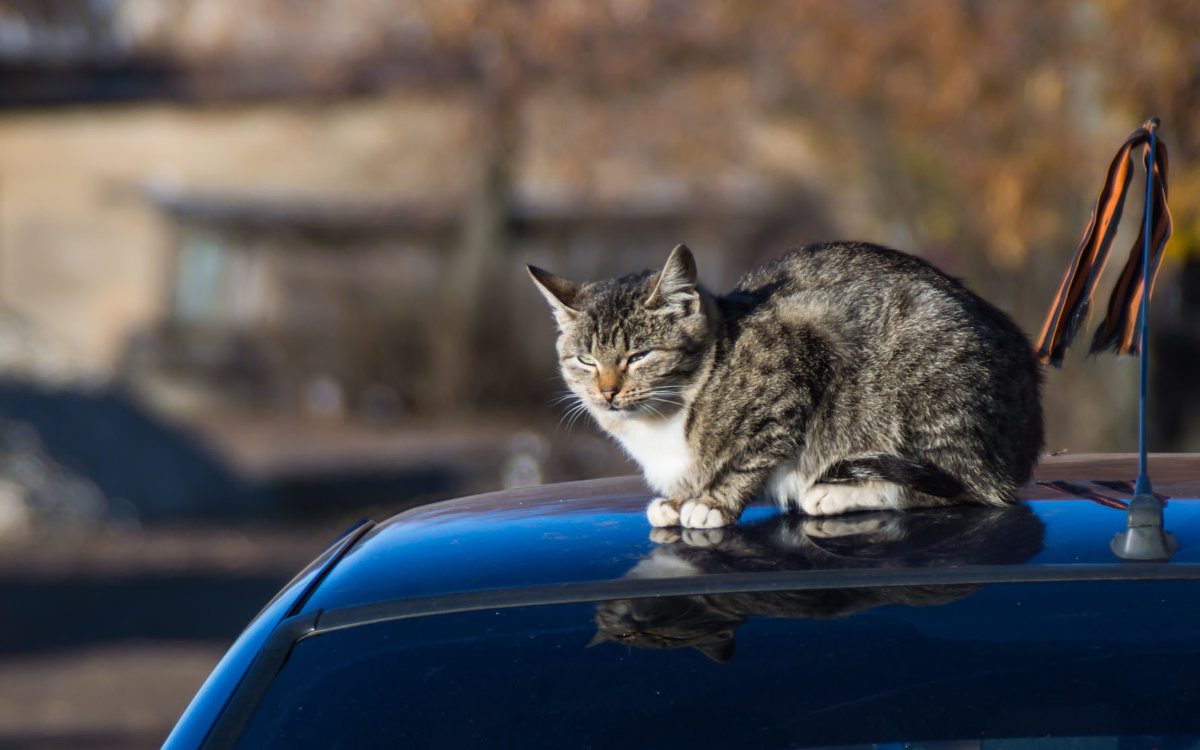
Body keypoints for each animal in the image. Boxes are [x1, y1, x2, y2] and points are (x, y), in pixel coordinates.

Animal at [525, 240, 1041, 525]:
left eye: (639, 355)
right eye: (586, 360)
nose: (607, 391)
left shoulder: (799, 353)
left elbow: (753, 451)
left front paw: (713, 502)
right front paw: (678, 498)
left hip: (929, 381)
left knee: (965, 487)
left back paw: (838, 491)